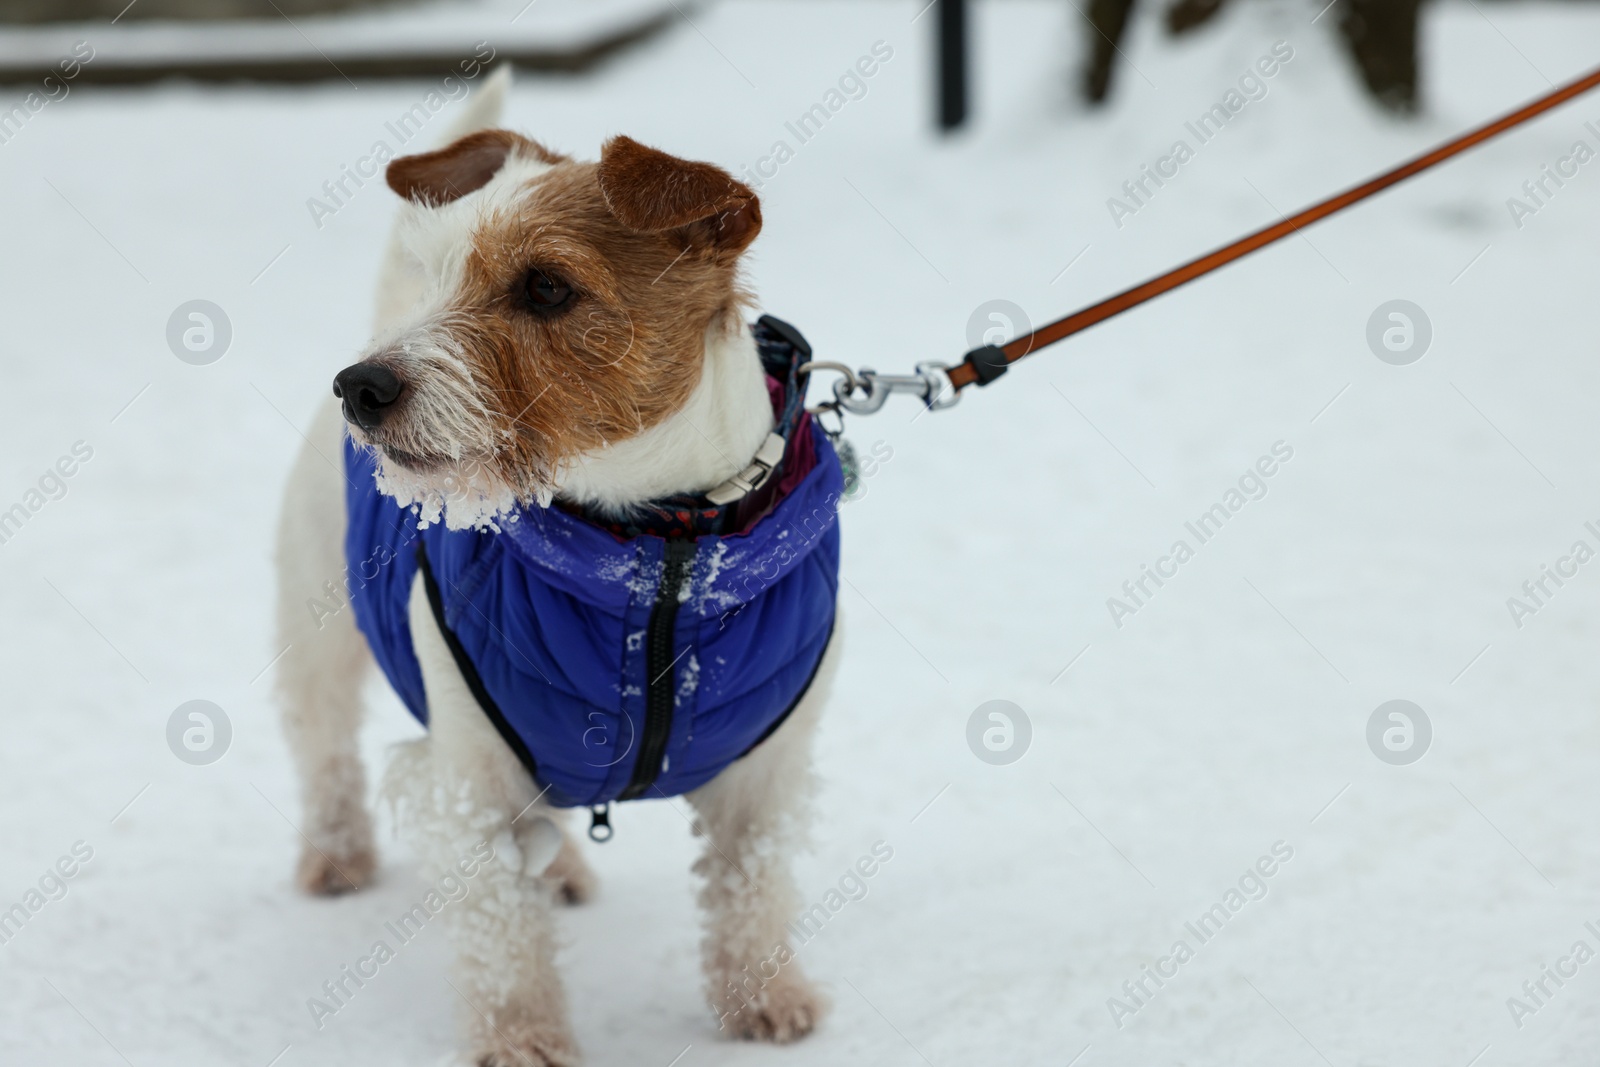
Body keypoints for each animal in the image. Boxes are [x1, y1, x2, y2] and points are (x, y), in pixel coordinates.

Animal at [272, 68, 851, 1067]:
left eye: (545, 286)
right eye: (440, 270)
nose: (361, 387)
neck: (657, 550)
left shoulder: (763, 775)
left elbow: (751, 890)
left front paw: (765, 999)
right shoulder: (473, 780)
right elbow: (503, 936)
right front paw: (520, 1038)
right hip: (318, 633)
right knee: (327, 753)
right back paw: (337, 854)